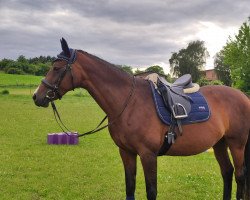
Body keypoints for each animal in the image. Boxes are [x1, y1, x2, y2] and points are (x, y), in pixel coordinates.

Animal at [32, 38, 250, 199]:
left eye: (57, 68)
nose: (37, 96)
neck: (129, 103)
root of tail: (243, 96)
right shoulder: (126, 152)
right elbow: (130, 188)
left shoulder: (148, 155)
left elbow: (151, 191)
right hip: (219, 143)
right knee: (227, 172)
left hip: (236, 144)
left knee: (240, 176)